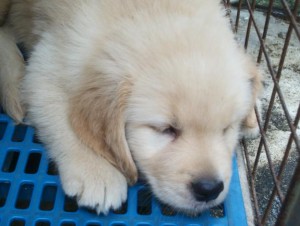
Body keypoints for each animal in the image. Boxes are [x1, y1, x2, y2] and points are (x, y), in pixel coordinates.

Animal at [0, 0, 262, 215]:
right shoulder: (45, 66)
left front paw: (251, 119)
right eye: (165, 129)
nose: (209, 189)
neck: (150, 11)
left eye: (226, 129)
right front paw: (97, 172)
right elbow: (61, 118)